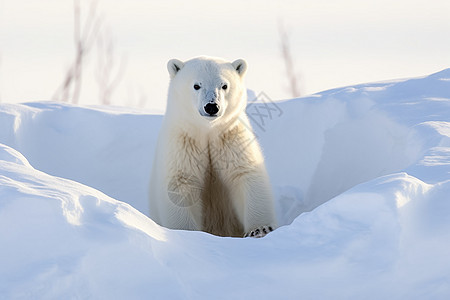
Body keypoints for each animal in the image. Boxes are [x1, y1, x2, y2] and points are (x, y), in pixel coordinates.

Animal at [149, 56, 276, 238]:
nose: (211, 106)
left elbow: (246, 175)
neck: (207, 131)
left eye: (224, 85)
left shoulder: (230, 138)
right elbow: (181, 185)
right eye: (196, 85)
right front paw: (187, 233)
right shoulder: (182, 142)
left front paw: (260, 229)